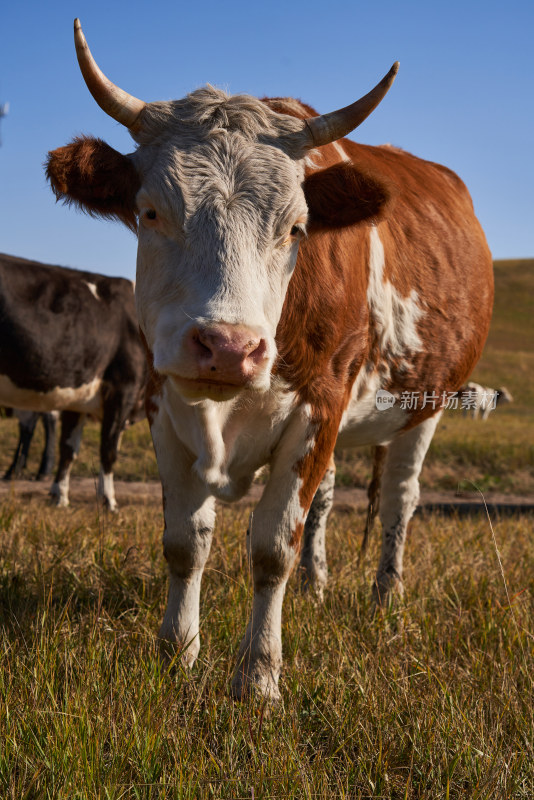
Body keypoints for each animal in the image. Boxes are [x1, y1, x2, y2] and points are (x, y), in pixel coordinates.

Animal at [0, 253, 148, 510]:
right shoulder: (123, 389)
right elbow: (108, 449)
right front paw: (109, 500)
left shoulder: (76, 397)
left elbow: (68, 448)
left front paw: (59, 495)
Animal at [46, 20, 494, 700]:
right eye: (150, 211)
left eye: (296, 228)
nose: (229, 347)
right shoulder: (161, 402)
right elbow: (185, 542)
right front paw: (176, 654)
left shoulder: (320, 405)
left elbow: (271, 547)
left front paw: (258, 677)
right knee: (330, 497)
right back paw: (316, 584)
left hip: (428, 404)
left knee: (400, 496)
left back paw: (385, 595)